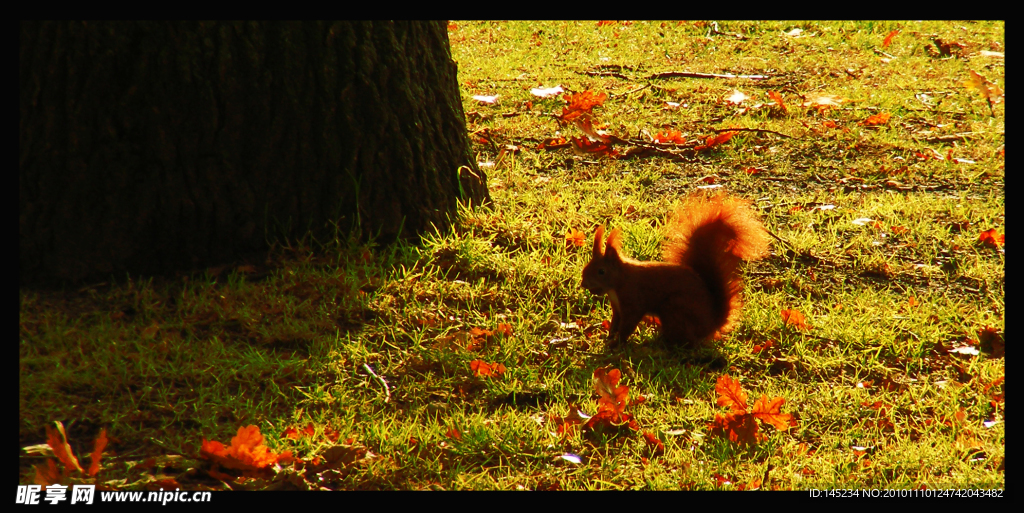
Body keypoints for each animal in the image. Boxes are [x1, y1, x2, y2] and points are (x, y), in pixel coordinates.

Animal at [585, 192, 770, 348]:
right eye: (587, 267)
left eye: (601, 271)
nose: (583, 283)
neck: (620, 280)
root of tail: (711, 325)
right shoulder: (617, 307)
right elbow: (615, 323)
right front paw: (609, 338)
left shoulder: (633, 302)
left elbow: (627, 326)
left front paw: (617, 343)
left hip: (674, 308)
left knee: (685, 341)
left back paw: (659, 344)